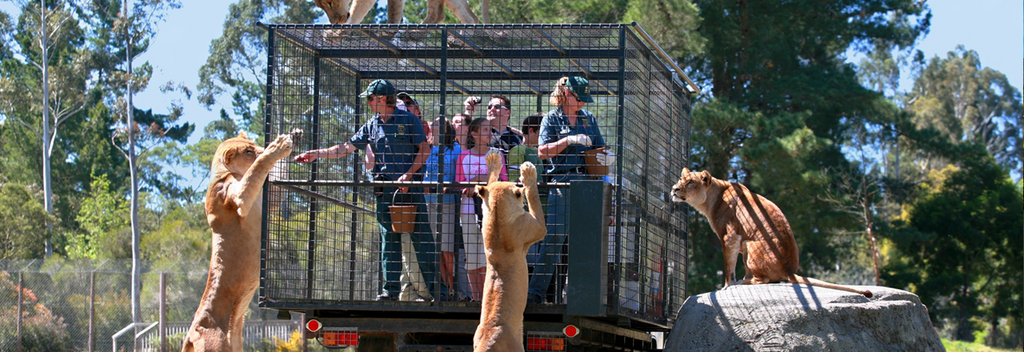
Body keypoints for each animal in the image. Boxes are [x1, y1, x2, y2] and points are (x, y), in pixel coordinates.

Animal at [182, 129, 299, 352]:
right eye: (248, 151)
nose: (262, 147)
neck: (227, 172)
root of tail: (191, 333)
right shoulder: (237, 197)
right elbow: (257, 168)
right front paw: (277, 146)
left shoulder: (268, 197)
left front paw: (295, 135)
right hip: (215, 346)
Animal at [473, 150, 548, 352]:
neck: (498, 216)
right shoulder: (537, 228)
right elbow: (533, 196)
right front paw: (528, 173)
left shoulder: (485, 213)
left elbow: (489, 183)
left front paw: (492, 160)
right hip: (517, 346)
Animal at [671, 167, 872, 296]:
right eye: (680, 180)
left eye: (690, 182)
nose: (674, 189)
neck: (711, 198)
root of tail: (789, 269)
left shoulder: (730, 237)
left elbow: (729, 267)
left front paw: (727, 286)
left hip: (750, 243)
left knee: (764, 279)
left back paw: (743, 283)